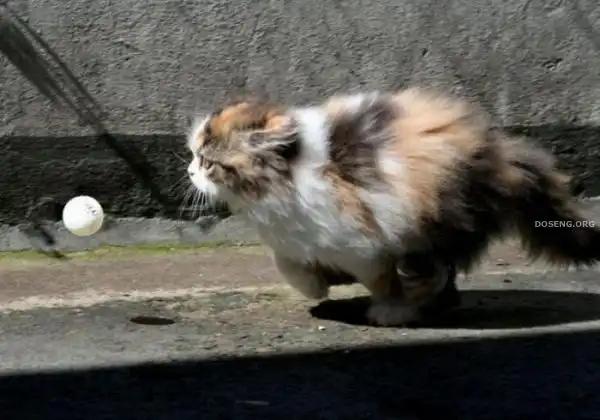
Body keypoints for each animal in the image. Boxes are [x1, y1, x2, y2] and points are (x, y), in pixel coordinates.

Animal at [185, 87, 600, 326]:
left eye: (207, 162)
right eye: (194, 155)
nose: (189, 171)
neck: (288, 175)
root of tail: (498, 150)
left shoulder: (361, 241)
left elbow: (381, 280)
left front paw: (391, 311)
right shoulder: (301, 237)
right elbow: (288, 263)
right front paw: (317, 286)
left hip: (438, 218)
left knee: (433, 267)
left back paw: (422, 297)